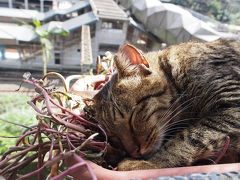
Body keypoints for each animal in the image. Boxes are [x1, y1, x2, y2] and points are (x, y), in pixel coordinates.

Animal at [92, 38, 240, 170]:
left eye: (132, 119)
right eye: (114, 137)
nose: (134, 152)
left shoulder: (232, 105)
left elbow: (186, 139)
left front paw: (148, 163)